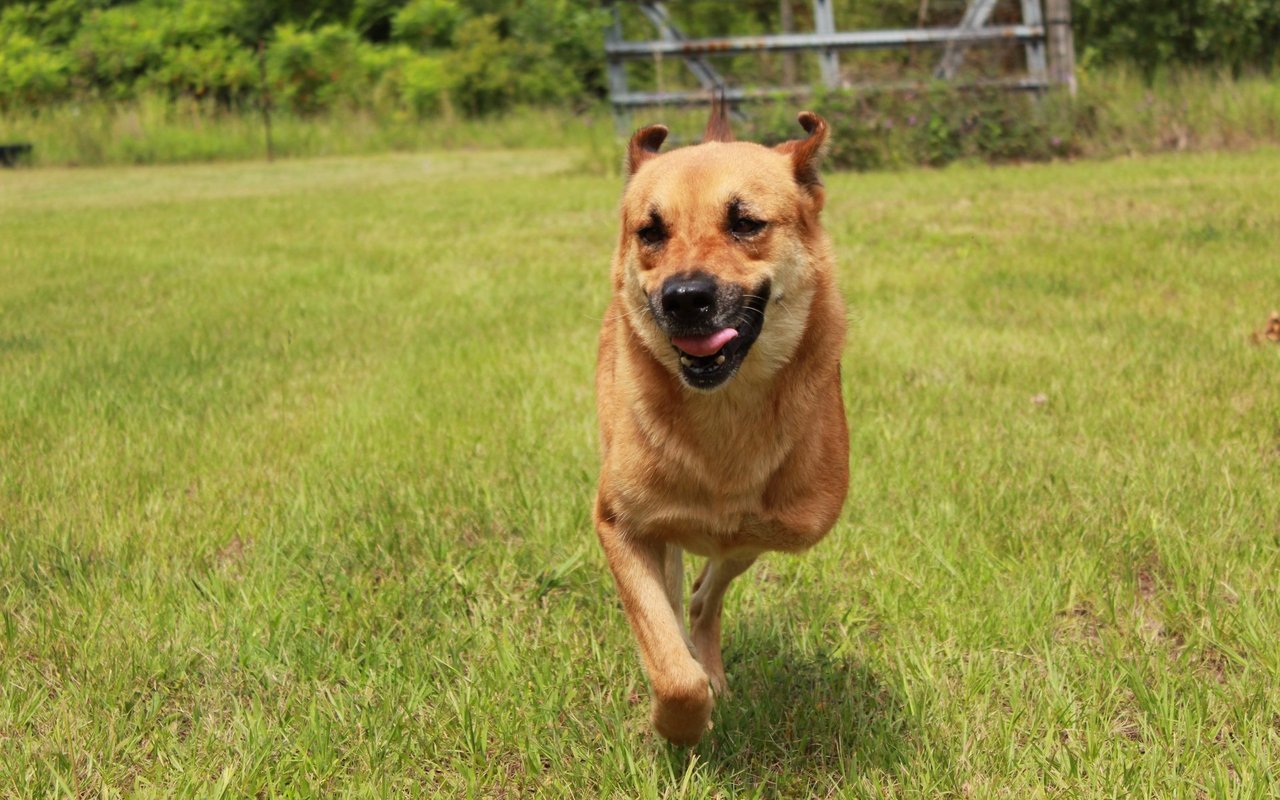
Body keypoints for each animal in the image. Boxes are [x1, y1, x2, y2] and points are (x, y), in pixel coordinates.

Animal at [593, 103, 855, 747]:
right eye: (651, 231)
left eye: (745, 222)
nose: (685, 299)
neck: (721, 410)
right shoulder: (620, 524)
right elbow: (668, 662)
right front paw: (678, 724)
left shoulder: (778, 524)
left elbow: (689, 622)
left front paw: (694, 704)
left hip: (758, 540)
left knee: (702, 599)